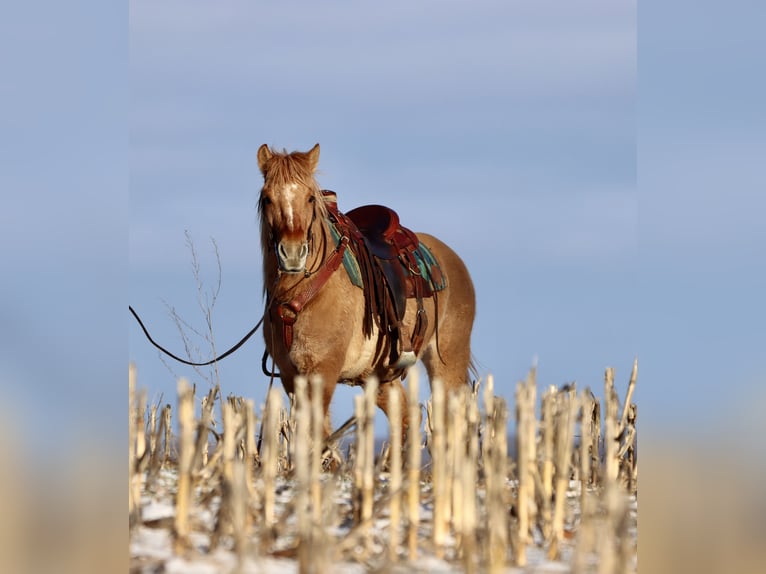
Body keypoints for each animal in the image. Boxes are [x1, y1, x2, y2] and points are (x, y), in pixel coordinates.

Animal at [257, 143, 476, 438]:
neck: (300, 295)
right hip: (381, 376)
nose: (292, 254)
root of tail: (452, 259)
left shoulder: (322, 372)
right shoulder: (291, 377)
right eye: (267, 198)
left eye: (310, 199)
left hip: (448, 363)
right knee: (406, 417)